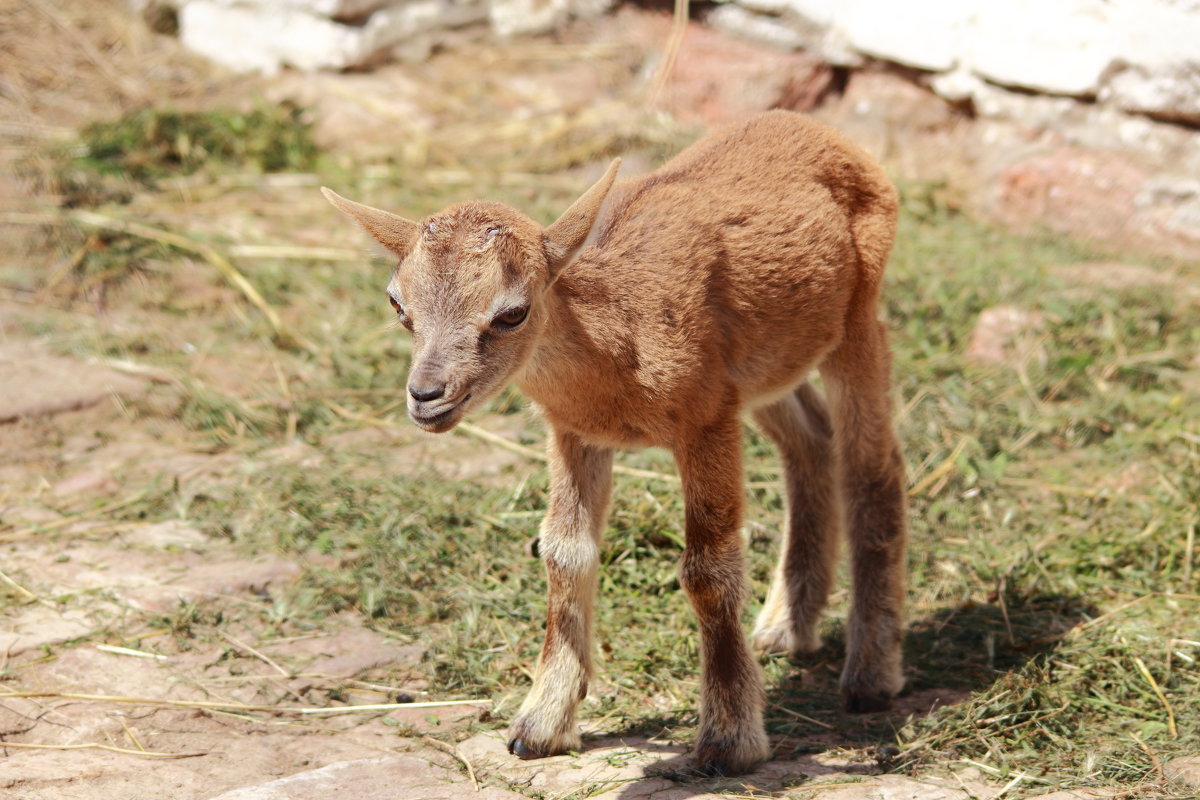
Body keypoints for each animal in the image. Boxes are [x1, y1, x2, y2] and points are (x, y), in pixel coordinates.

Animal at [324, 112, 902, 777]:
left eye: (512, 312)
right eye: (398, 305)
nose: (426, 396)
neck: (619, 342)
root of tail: (825, 135)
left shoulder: (706, 419)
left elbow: (707, 569)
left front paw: (730, 741)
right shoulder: (579, 431)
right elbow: (564, 554)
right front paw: (540, 725)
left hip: (857, 319)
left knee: (873, 465)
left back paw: (871, 674)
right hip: (767, 366)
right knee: (812, 440)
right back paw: (785, 628)